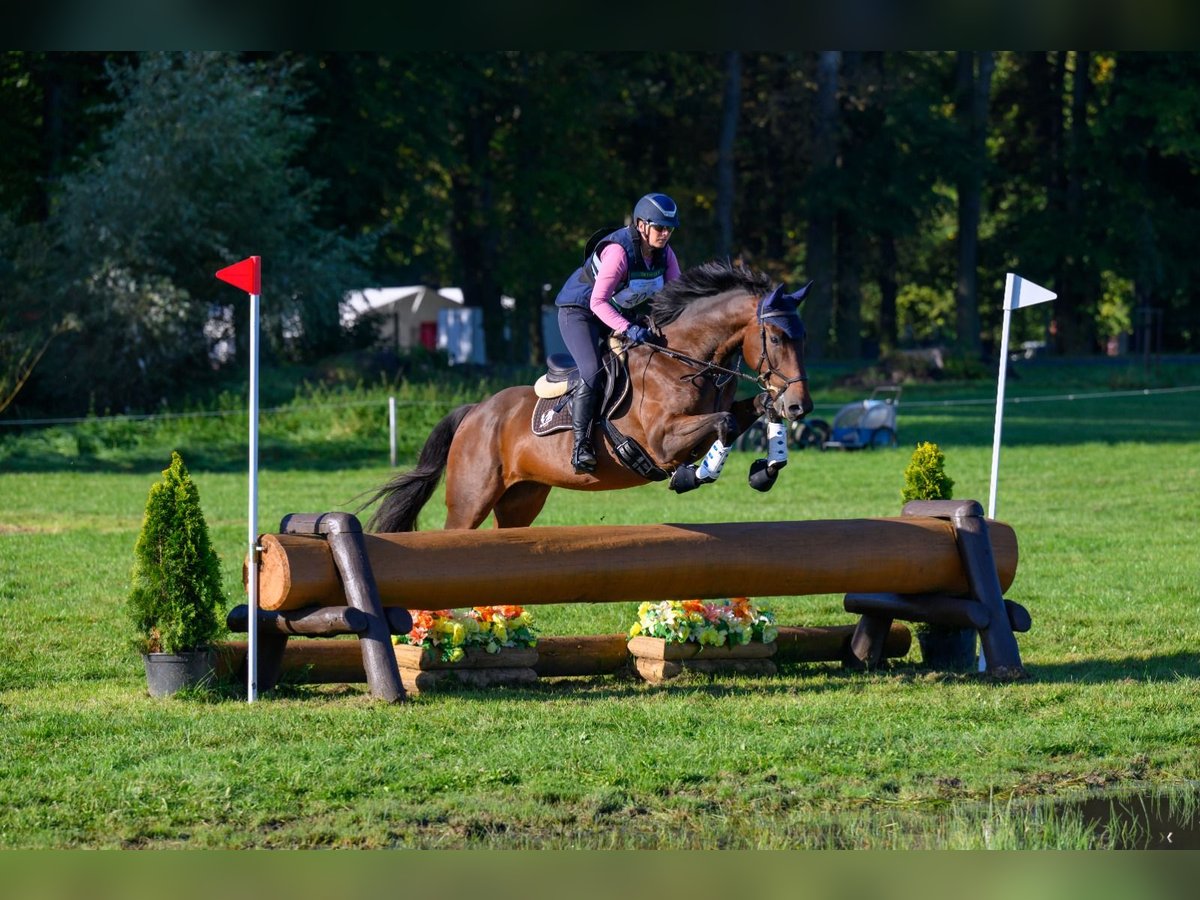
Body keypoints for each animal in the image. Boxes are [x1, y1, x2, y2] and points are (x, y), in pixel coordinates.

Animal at [362, 259, 816, 535]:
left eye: (803, 337)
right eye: (777, 337)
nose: (801, 405)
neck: (685, 361)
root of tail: (476, 413)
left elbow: (753, 411)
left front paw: (766, 468)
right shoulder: (663, 442)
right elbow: (724, 424)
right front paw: (695, 475)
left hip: (520, 500)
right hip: (469, 499)